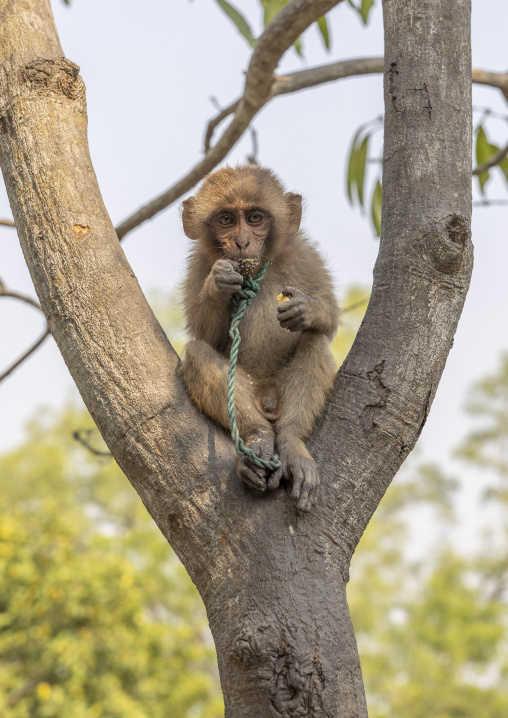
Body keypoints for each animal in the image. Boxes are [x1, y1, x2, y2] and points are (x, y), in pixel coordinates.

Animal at [178, 165, 339, 512]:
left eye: (254, 218)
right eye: (226, 219)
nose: (242, 242)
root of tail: (267, 397)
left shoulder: (304, 254)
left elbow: (329, 317)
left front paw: (307, 309)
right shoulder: (199, 264)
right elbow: (204, 335)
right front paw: (219, 283)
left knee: (316, 342)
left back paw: (291, 442)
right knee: (197, 353)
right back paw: (259, 438)